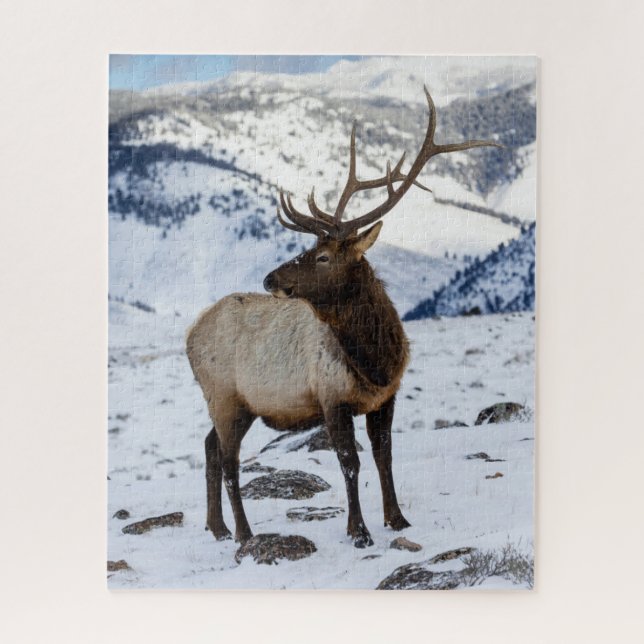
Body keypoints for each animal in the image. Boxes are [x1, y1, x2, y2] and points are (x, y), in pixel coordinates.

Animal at [186, 87, 500, 548]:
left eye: (321, 256)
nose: (269, 277)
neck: (375, 360)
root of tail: (189, 335)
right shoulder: (331, 397)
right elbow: (349, 462)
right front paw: (359, 531)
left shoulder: (385, 397)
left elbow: (384, 456)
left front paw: (397, 519)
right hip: (224, 396)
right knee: (228, 461)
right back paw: (244, 533)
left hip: (235, 405)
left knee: (210, 447)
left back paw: (218, 527)